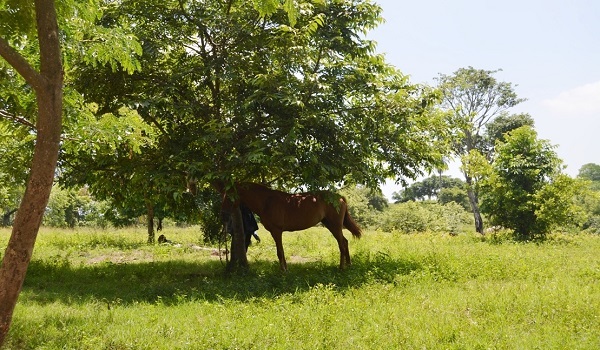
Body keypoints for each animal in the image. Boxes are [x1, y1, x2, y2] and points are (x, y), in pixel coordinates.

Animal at [219, 182, 360, 272]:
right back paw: (349, 265)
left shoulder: (276, 231)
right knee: (345, 242)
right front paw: (285, 269)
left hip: (335, 226)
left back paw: (342, 267)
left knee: (342, 244)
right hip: (330, 225)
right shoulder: (276, 232)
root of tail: (340, 198)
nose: (223, 214)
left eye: (230, 195)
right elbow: (281, 251)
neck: (267, 202)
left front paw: (283, 271)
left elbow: (280, 252)